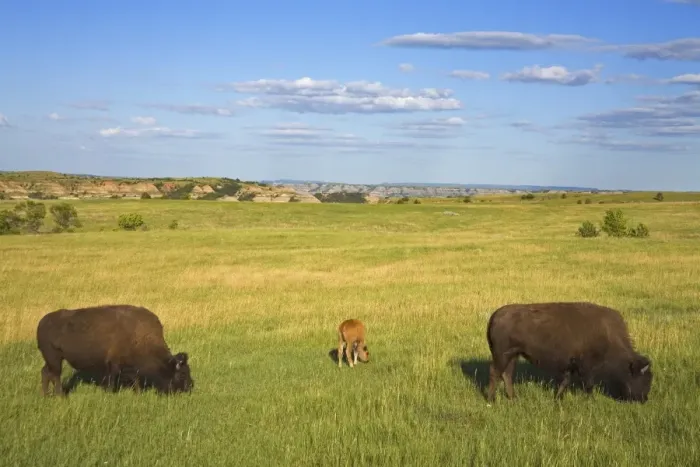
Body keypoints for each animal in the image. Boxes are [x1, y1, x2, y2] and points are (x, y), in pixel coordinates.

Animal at [37, 304, 193, 396]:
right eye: (182, 374)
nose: (188, 389)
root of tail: (42, 322)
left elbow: (135, 380)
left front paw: (138, 393)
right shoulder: (113, 365)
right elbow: (112, 381)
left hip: (51, 360)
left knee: (45, 372)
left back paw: (46, 395)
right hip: (55, 359)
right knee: (55, 375)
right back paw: (60, 396)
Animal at [485, 302, 652, 403]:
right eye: (644, 378)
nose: (644, 399)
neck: (608, 334)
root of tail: (495, 316)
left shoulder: (571, 365)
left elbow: (565, 381)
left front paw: (558, 398)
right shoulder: (586, 366)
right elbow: (587, 384)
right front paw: (592, 400)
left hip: (512, 355)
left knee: (506, 375)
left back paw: (514, 398)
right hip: (502, 355)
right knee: (495, 372)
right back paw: (491, 399)